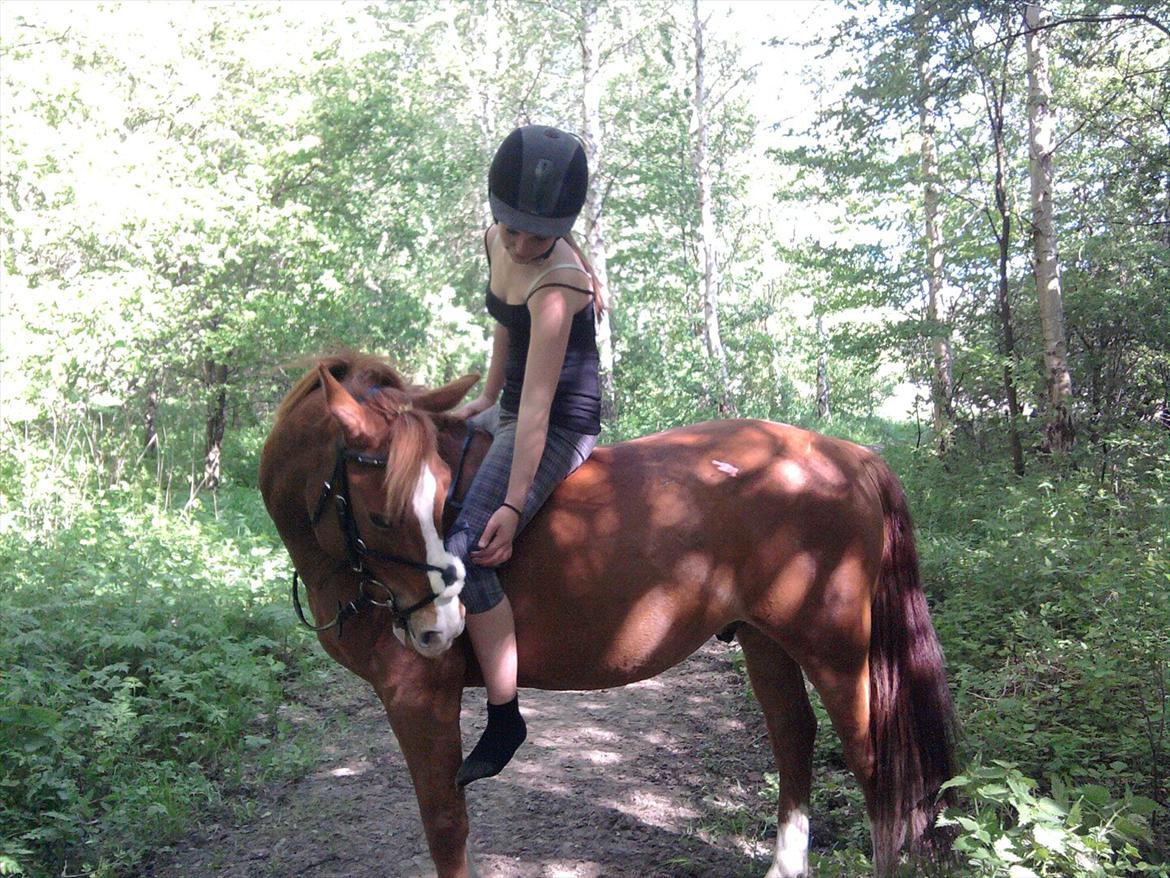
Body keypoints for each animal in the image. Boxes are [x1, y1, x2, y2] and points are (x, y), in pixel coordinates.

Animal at [260, 355, 954, 878]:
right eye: (382, 516)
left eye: (440, 500)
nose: (440, 628)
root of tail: (851, 456)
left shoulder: (417, 696)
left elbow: (444, 822)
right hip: (766, 640)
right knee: (793, 735)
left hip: (832, 648)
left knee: (873, 762)